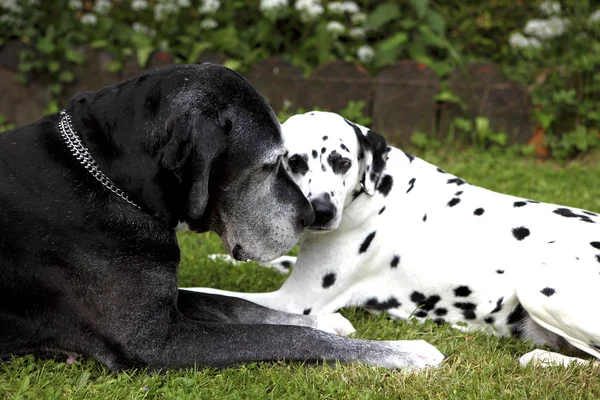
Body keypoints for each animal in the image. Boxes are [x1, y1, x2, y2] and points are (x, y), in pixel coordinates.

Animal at [0, 64, 440, 370]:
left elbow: (239, 306)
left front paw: (327, 321)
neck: (111, 179)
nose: (311, 215)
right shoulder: (153, 341)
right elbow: (283, 338)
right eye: (270, 164)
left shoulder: (168, 303)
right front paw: (403, 352)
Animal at [190, 111, 600, 368]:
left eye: (341, 161)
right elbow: (274, 262)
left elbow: (219, 295)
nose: (321, 210)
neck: (374, 190)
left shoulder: (295, 300)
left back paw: (544, 360)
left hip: (540, 283)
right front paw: (215, 259)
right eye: (294, 162)